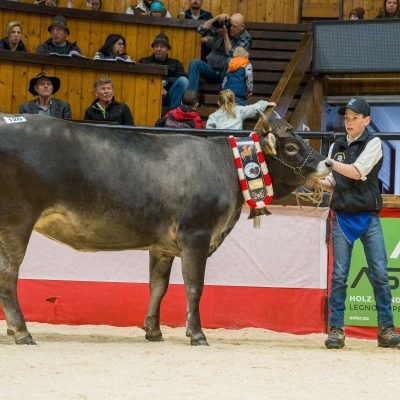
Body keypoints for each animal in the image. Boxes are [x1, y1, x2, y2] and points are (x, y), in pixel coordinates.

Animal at [0, 113, 331, 346]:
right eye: (292, 147)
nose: (328, 163)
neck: (228, 168)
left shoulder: (162, 246)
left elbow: (157, 287)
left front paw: (153, 331)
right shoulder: (196, 235)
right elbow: (194, 286)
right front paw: (197, 334)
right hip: (17, 221)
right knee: (8, 274)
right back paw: (22, 332)